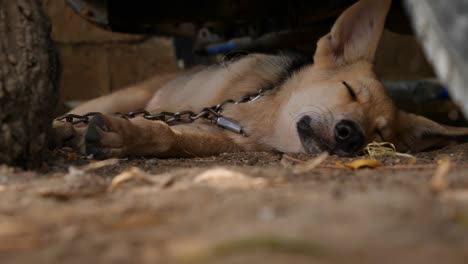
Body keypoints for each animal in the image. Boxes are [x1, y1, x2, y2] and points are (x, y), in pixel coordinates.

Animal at [51, 0, 468, 159]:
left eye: (379, 134)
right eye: (348, 90)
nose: (352, 135)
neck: (260, 117)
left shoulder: (216, 135)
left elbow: (170, 136)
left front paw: (126, 136)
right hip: (127, 94)